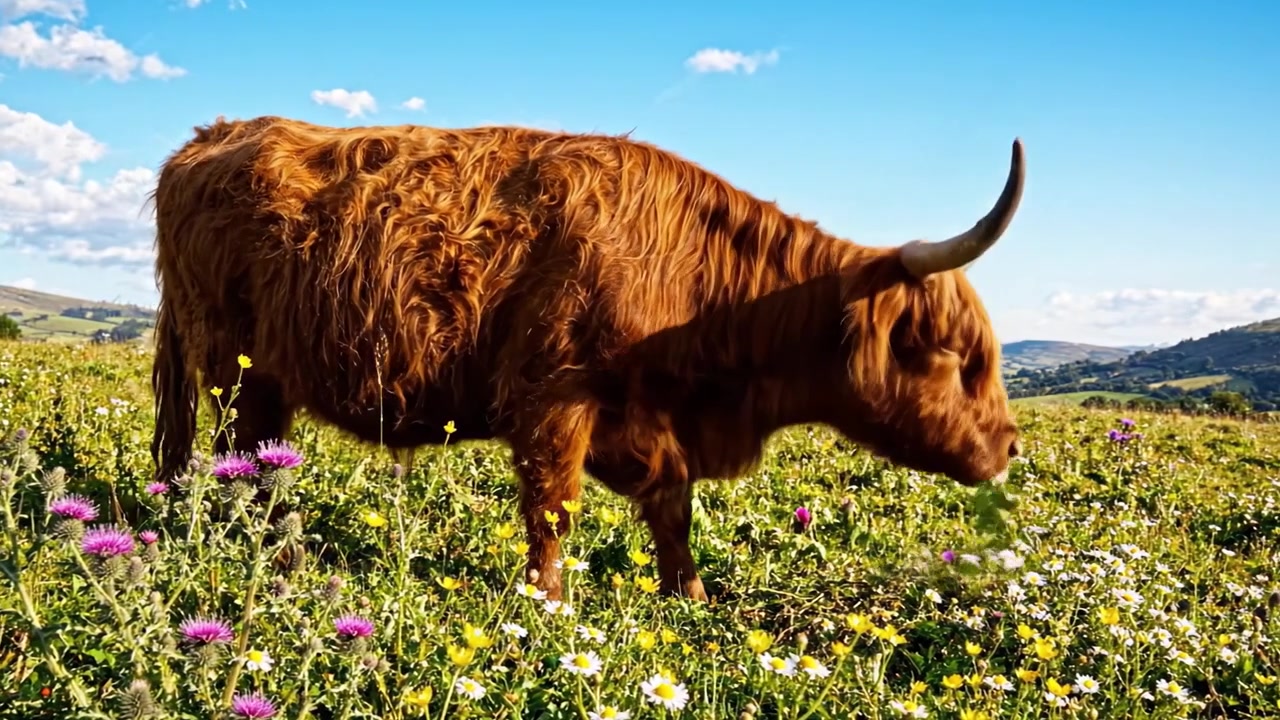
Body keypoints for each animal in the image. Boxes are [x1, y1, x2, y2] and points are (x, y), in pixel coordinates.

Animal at [149, 115, 1025, 602]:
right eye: (952, 354)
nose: (1010, 446)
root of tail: (216, 134)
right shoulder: (553, 397)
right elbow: (554, 510)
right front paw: (549, 603)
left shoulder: (648, 424)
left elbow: (672, 509)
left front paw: (689, 595)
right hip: (233, 370)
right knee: (238, 469)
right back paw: (277, 561)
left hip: (257, 382)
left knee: (250, 466)